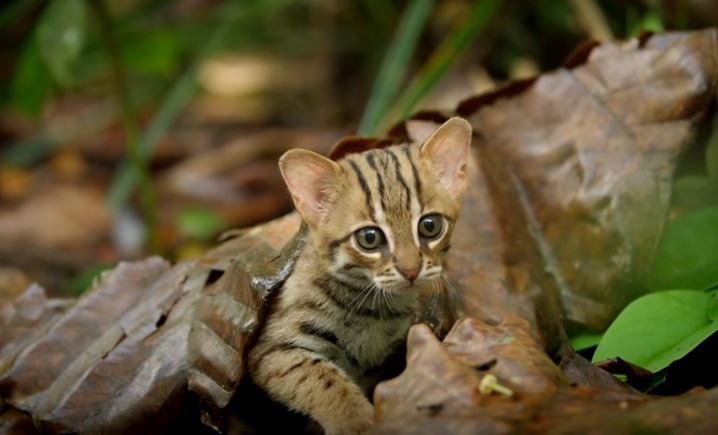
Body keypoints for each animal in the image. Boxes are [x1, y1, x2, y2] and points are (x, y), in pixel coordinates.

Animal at [248, 117, 472, 434]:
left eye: (430, 226)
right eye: (369, 238)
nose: (411, 270)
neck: (372, 307)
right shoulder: (271, 351)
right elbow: (323, 380)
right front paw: (358, 421)